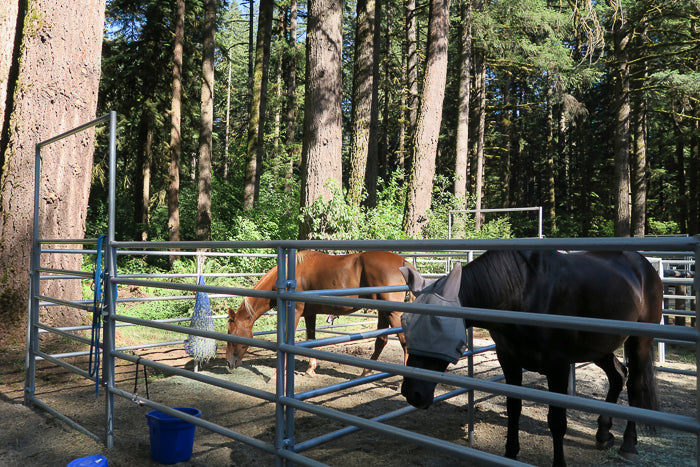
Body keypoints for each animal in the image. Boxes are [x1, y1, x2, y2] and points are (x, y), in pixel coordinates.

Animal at [227, 250, 412, 374]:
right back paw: (366, 373)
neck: (287, 277)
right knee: (382, 340)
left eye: (230, 333)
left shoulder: (295, 311)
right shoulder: (310, 314)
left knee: (404, 341)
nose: (230, 363)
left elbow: (288, 340)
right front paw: (311, 369)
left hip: (393, 313)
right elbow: (311, 339)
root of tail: (403, 261)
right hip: (384, 311)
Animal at [400, 252, 660, 467]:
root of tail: (644, 265)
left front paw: (558, 463)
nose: (413, 393)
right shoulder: (509, 361)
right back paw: (604, 434)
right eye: (406, 322)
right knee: (617, 375)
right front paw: (510, 453)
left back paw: (629, 445)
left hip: (638, 342)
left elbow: (557, 421)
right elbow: (513, 408)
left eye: (437, 326)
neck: (521, 292)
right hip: (597, 347)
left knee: (635, 386)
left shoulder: (558, 367)